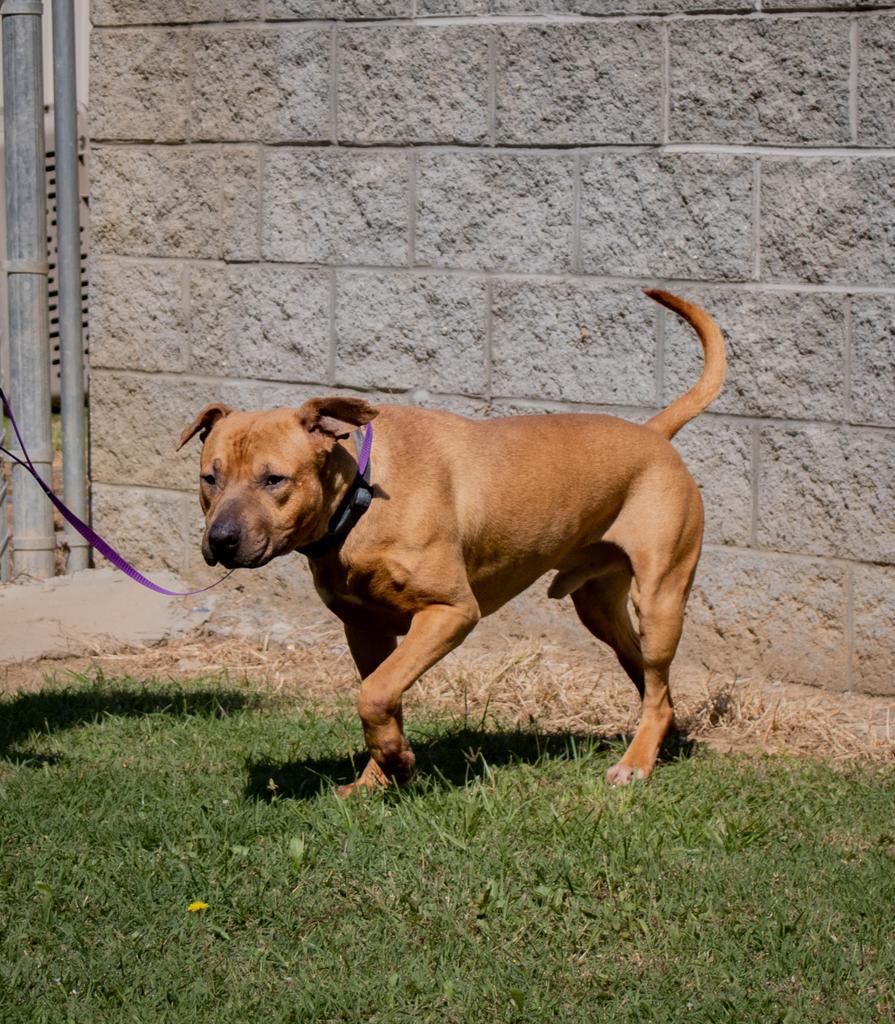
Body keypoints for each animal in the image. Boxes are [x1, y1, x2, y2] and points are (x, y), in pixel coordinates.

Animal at [178, 288, 720, 790]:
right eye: (210, 478)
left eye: (274, 480)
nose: (221, 540)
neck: (361, 498)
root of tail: (654, 434)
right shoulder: (366, 629)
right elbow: (382, 699)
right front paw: (382, 773)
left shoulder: (449, 611)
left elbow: (374, 694)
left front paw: (395, 765)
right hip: (599, 608)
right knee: (654, 687)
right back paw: (655, 744)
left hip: (659, 598)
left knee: (656, 682)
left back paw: (635, 764)